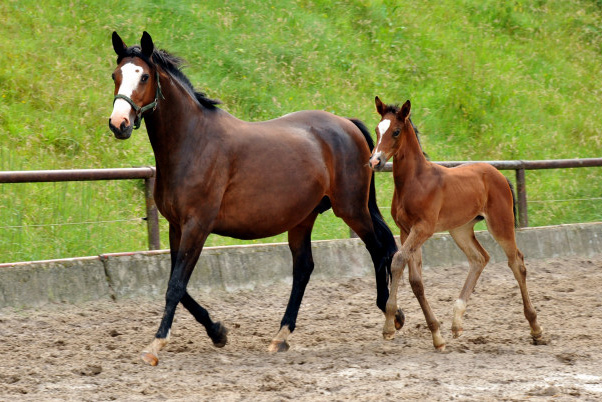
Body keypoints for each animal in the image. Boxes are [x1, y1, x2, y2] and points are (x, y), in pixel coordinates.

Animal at [108, 31, 400, 364]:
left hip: (351, 209)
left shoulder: (197, 226)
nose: (119, 124)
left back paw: (392, 317)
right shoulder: (176, 226)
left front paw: (155, 346)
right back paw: (281, 337)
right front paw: (218, 332)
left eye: (143, 76)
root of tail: (347, 124)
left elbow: (175, 285)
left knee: (378, 250)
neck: (193, 142)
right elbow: (179, 287)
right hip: (304, 217)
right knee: (304, 268)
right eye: (115, 75)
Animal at [368, 98, 540, 352]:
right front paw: (437, 336)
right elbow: (416, 280)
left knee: (516, 262)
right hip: (461, 229)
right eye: (377, 130)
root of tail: (498, 174)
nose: (375, 161)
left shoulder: (423, 229)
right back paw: (457, 322)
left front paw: (389, 327)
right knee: (480, 258)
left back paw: (536, 329)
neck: (414, 182)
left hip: (500, 224)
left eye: (396, 131)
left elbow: (398, 260)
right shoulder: (406, 230)